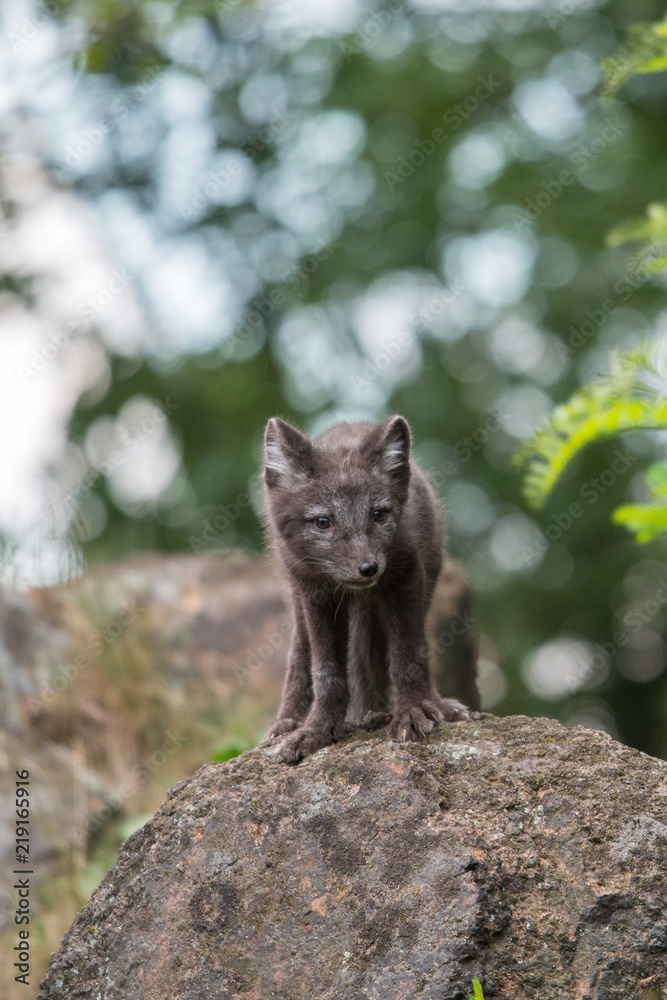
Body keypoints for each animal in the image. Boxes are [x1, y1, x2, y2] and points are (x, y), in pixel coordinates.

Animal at [262, 414, 472, 763]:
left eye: (378, 514)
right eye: (323, 522)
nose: (369, 568)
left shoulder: (406, 577)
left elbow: (409, 658)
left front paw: (413, 712)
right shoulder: (317, 594)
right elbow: (327, 674)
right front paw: (316, 731)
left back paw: (439, 704)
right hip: (298, 598)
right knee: (300, 656)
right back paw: (287, 723)